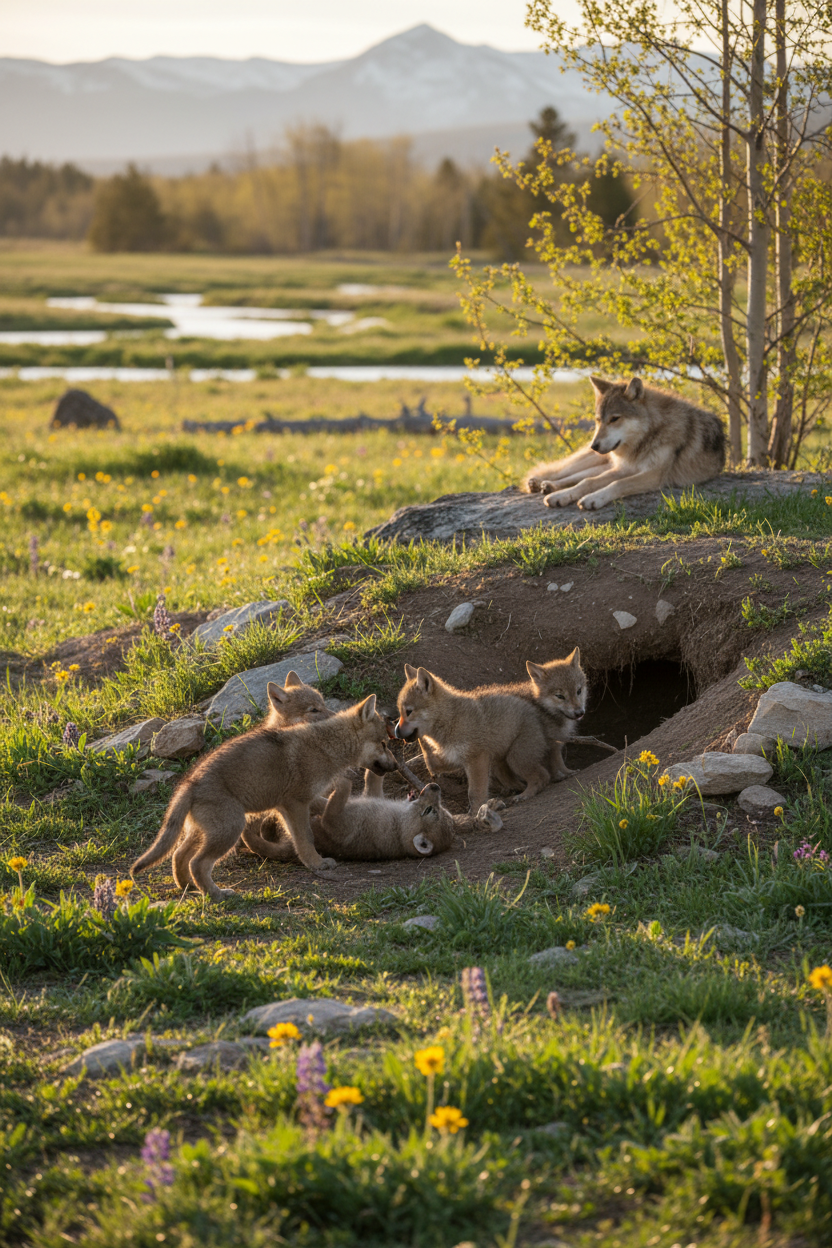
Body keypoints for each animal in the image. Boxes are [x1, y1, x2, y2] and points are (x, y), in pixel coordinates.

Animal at [131, 693, 397, 899]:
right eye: (384, 744)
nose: (395, 766)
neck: (326, 745)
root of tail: (189, 784)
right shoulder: (295, 804)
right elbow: (306, 839)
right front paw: (317, 864)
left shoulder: (294, 804)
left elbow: (319, 816)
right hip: (230, 829)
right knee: (198, 863)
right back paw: (217, 894)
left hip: (204, 832)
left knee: (179, 856)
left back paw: (190, 888)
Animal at [394, 664, 550, 811]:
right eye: (400, 713)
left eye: (409, 712)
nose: (396, 732)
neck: (451, 719)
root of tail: (533, 709)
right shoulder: (454, 759)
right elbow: (430, 762)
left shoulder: (476, 759)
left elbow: (474, 793)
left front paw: (475, 814)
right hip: (498, 765)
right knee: (521, 782)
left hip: (515, 759)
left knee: (542, 777)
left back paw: (523, 795)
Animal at [524, 375, 725, 511]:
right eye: (598, 420)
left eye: (614, 419)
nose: (594, 446)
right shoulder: (625, 469)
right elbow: (588, 482)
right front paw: (563, 496)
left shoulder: (652, 475)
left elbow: (617, 484)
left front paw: (593, 499)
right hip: (597, 462)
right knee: (568, 473)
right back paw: (543, 485)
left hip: (604, 465)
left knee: (578, 476)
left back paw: (546, 486)